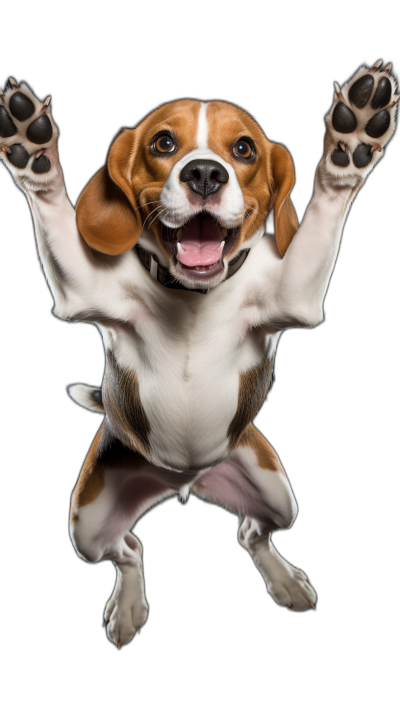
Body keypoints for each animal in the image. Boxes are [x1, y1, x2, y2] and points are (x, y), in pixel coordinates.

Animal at [0, 62, 396, 644]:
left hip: (278, 493)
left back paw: (285, 581)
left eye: (244, 148)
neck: (193, 296)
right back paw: (128, 606)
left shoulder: (293, 298)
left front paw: (351, 146)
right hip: (87, 526)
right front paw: (34, 154)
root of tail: (184, 480)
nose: (205, 173)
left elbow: (323, 217)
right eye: (164, 143)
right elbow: (53, 213)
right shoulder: (85, 292)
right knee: (129, 549)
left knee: (252, 533)